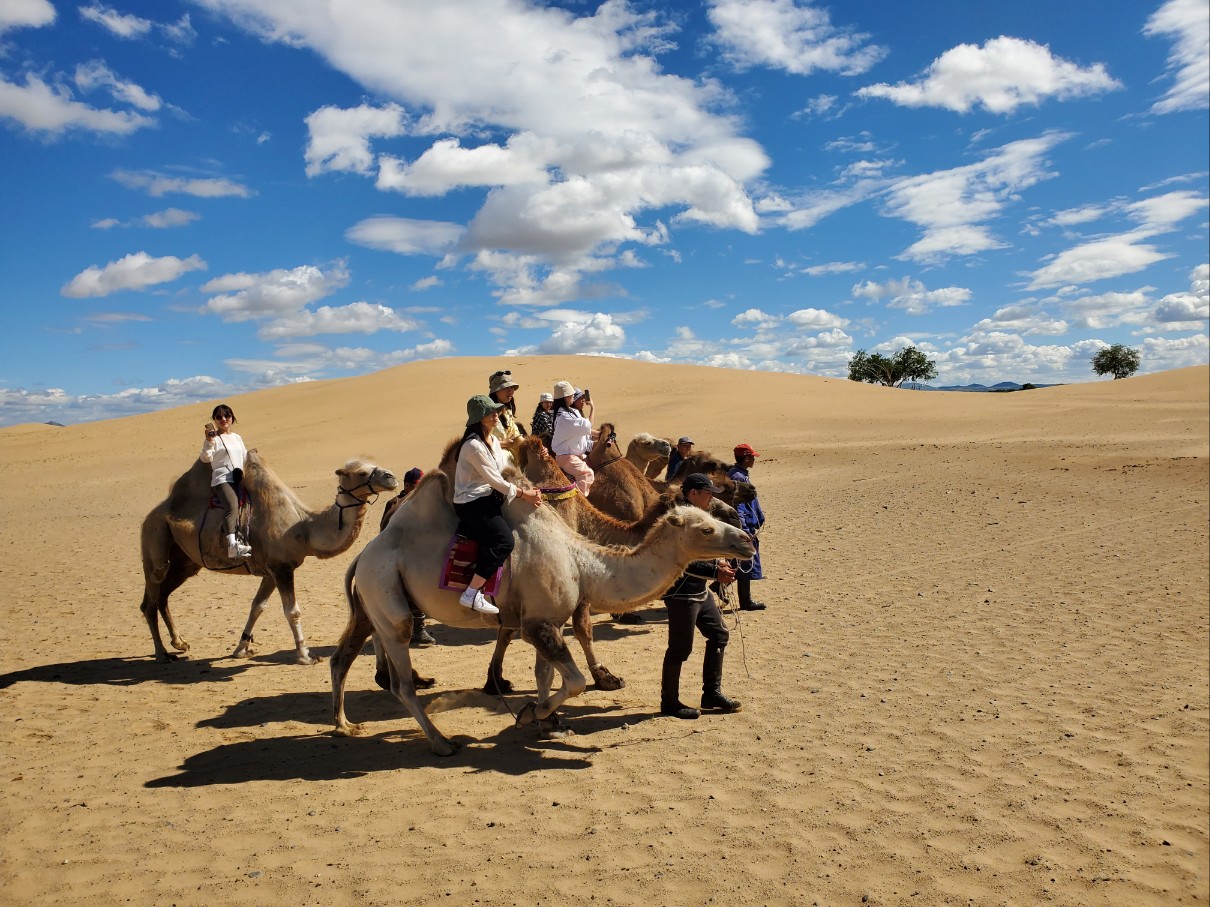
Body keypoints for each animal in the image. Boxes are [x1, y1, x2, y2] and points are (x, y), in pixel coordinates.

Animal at [139, 454, 396, 667]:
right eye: (361, 472)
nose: (391, 477)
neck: (304, 527)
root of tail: (154, 513)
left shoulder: (271, 572)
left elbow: (257, 606)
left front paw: (241, 649)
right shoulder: (281, 568)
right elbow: (292, 611)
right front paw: (306, 656)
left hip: (185, 562)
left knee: (163, 596)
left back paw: (179, 642)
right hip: (155, 536)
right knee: (150, 599)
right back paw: (162, 653)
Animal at [326, 464, 750, 754]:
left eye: (712, 518)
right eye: (706, 528)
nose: (746, 539)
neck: (582, 562)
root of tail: (364, 554)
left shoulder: (548, 620)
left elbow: (544, 674)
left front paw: (549, 723)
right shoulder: (537, 625)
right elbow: (574, 681)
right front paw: (533, 713)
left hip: (374, 604)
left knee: (345, 656)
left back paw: (344, 725)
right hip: (387, 594)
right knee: (401, 682)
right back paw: (441, 741)